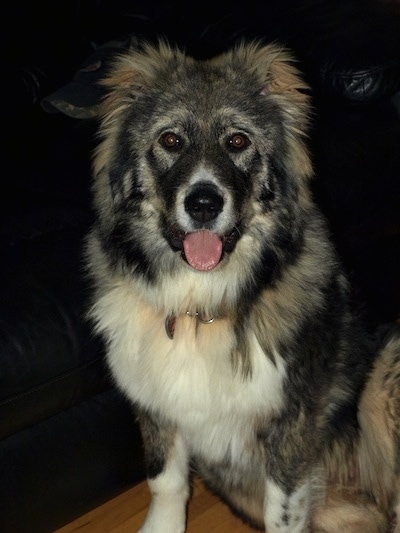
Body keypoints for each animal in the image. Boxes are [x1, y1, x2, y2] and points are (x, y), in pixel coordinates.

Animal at [85, 42, 400, 532]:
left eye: (237, 141)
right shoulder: (157, 407)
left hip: (385, 376)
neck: (199, 308)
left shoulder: (291, 427)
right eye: (170, 140)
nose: (203, 204)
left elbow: (282, 511)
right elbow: (165, 482)